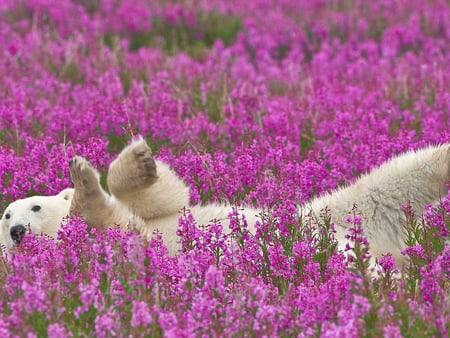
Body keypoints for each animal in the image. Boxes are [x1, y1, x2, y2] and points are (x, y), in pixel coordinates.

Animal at [0, 139, 450, 266]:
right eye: (5, 218)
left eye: (33, 206)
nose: (17, 231)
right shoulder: (128, 246)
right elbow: (111, 225)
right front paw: (85, 184)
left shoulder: (161, 215)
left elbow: (168, 199)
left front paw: (137, 161)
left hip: (330, 214)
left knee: (396, 179)